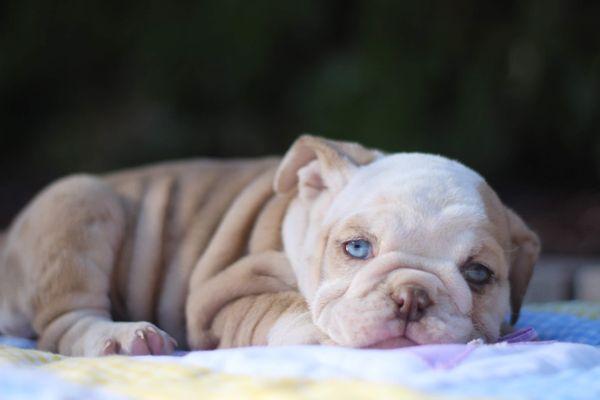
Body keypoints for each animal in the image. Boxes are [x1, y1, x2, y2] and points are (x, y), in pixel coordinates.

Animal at [0, 135, 540, 356]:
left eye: (478, 274)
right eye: (357, 249)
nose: (411, 296)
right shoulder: (221, 297)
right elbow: (280, 305)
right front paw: (319, 335)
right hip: (79, 200)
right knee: (64, 325)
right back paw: (120, 336)